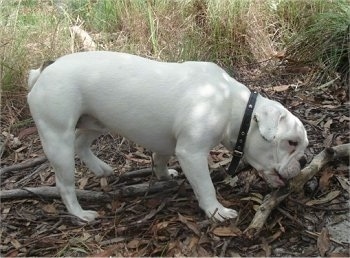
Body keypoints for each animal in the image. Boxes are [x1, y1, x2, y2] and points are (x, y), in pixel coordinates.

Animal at [27, 51, 308, 222]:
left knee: (81, 142)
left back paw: (100, 168)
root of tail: (42, 74)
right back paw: (80, 213)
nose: (304, 161)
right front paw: (215, 210)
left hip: (96, 123)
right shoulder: (192, 153)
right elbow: (205, 185)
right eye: (291, 143)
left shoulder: (167, 143)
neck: (234, 106)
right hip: (57, 138)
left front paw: (163, 176)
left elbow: (160, 157)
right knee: (64, 183)